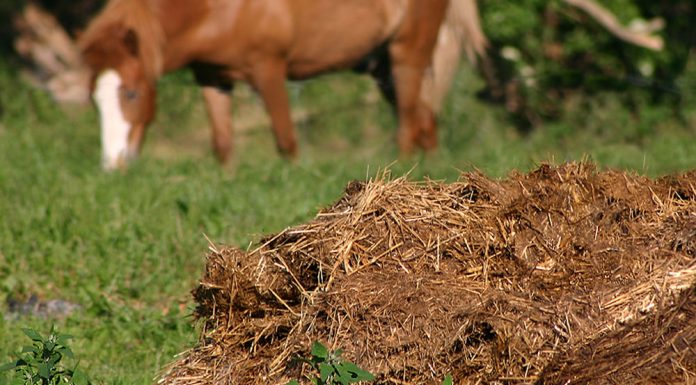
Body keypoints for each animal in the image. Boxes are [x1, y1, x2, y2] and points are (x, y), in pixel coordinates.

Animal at [80, 0, 484, 169]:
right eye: (95, 101)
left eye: (131, 93)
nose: (112, 163)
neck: (217, 7)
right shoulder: (212, 77)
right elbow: (223, 144)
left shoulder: (269, 68)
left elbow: (286, 141)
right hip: (380, 65)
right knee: (425, 120)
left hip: (407, 54)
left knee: (407, 125)